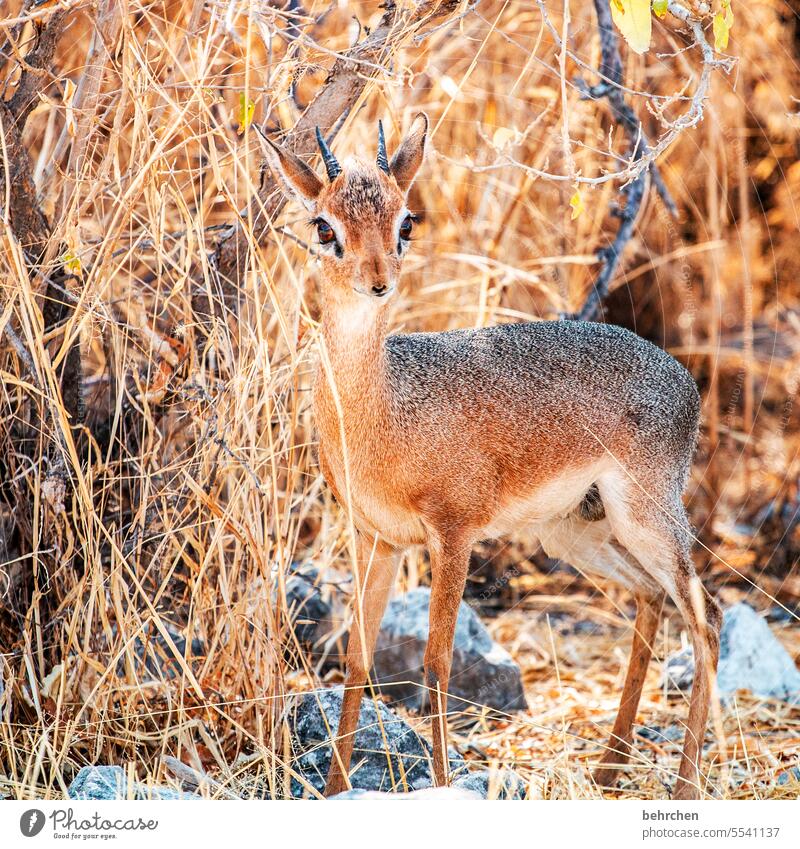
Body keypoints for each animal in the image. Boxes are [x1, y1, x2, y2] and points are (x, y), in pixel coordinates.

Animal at [260, 116, 720, 800]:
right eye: (324, 226)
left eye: (406, 221)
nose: (379, 281)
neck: (385, 412)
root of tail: (685, 380)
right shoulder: (377, 538)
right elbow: (357, 657)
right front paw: (340, 785)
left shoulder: (453, 535)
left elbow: (436, 663)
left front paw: (443, 785)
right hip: (576, 532)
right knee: (651, 598)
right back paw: (608, 768)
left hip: (646, 516)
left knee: (707, 619)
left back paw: (685, 785)